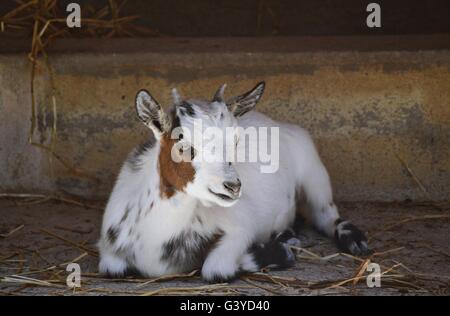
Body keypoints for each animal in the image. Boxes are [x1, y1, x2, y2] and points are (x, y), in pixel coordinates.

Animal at [97, 81, 370, 282]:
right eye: (182, 145)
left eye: (236, 141)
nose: (233, 186)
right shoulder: (108, 249)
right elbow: (112, 269)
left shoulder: (240, 228)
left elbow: (215, 270)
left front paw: (279, 252)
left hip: (312, 169)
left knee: (327, 214)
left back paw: (354, 241)